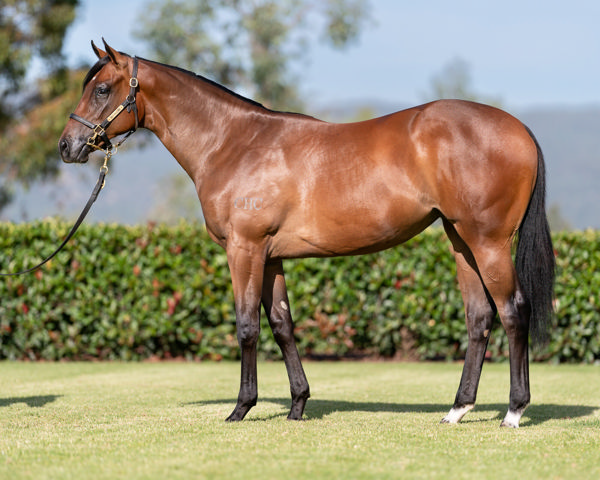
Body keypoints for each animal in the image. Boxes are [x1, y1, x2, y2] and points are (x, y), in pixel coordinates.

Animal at [58, 41, 556, 430]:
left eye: (101, 89)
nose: (67, 146)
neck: (234, 143)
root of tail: (520, 129)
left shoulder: (244, 249)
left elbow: (247, 326)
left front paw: (241, 408)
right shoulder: (272, 257)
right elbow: (282, 325)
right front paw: (297, 405)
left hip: (488, 242)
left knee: (513, 312)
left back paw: (514, 411)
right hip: (460, 242)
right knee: (479, 318)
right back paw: (457, 409)